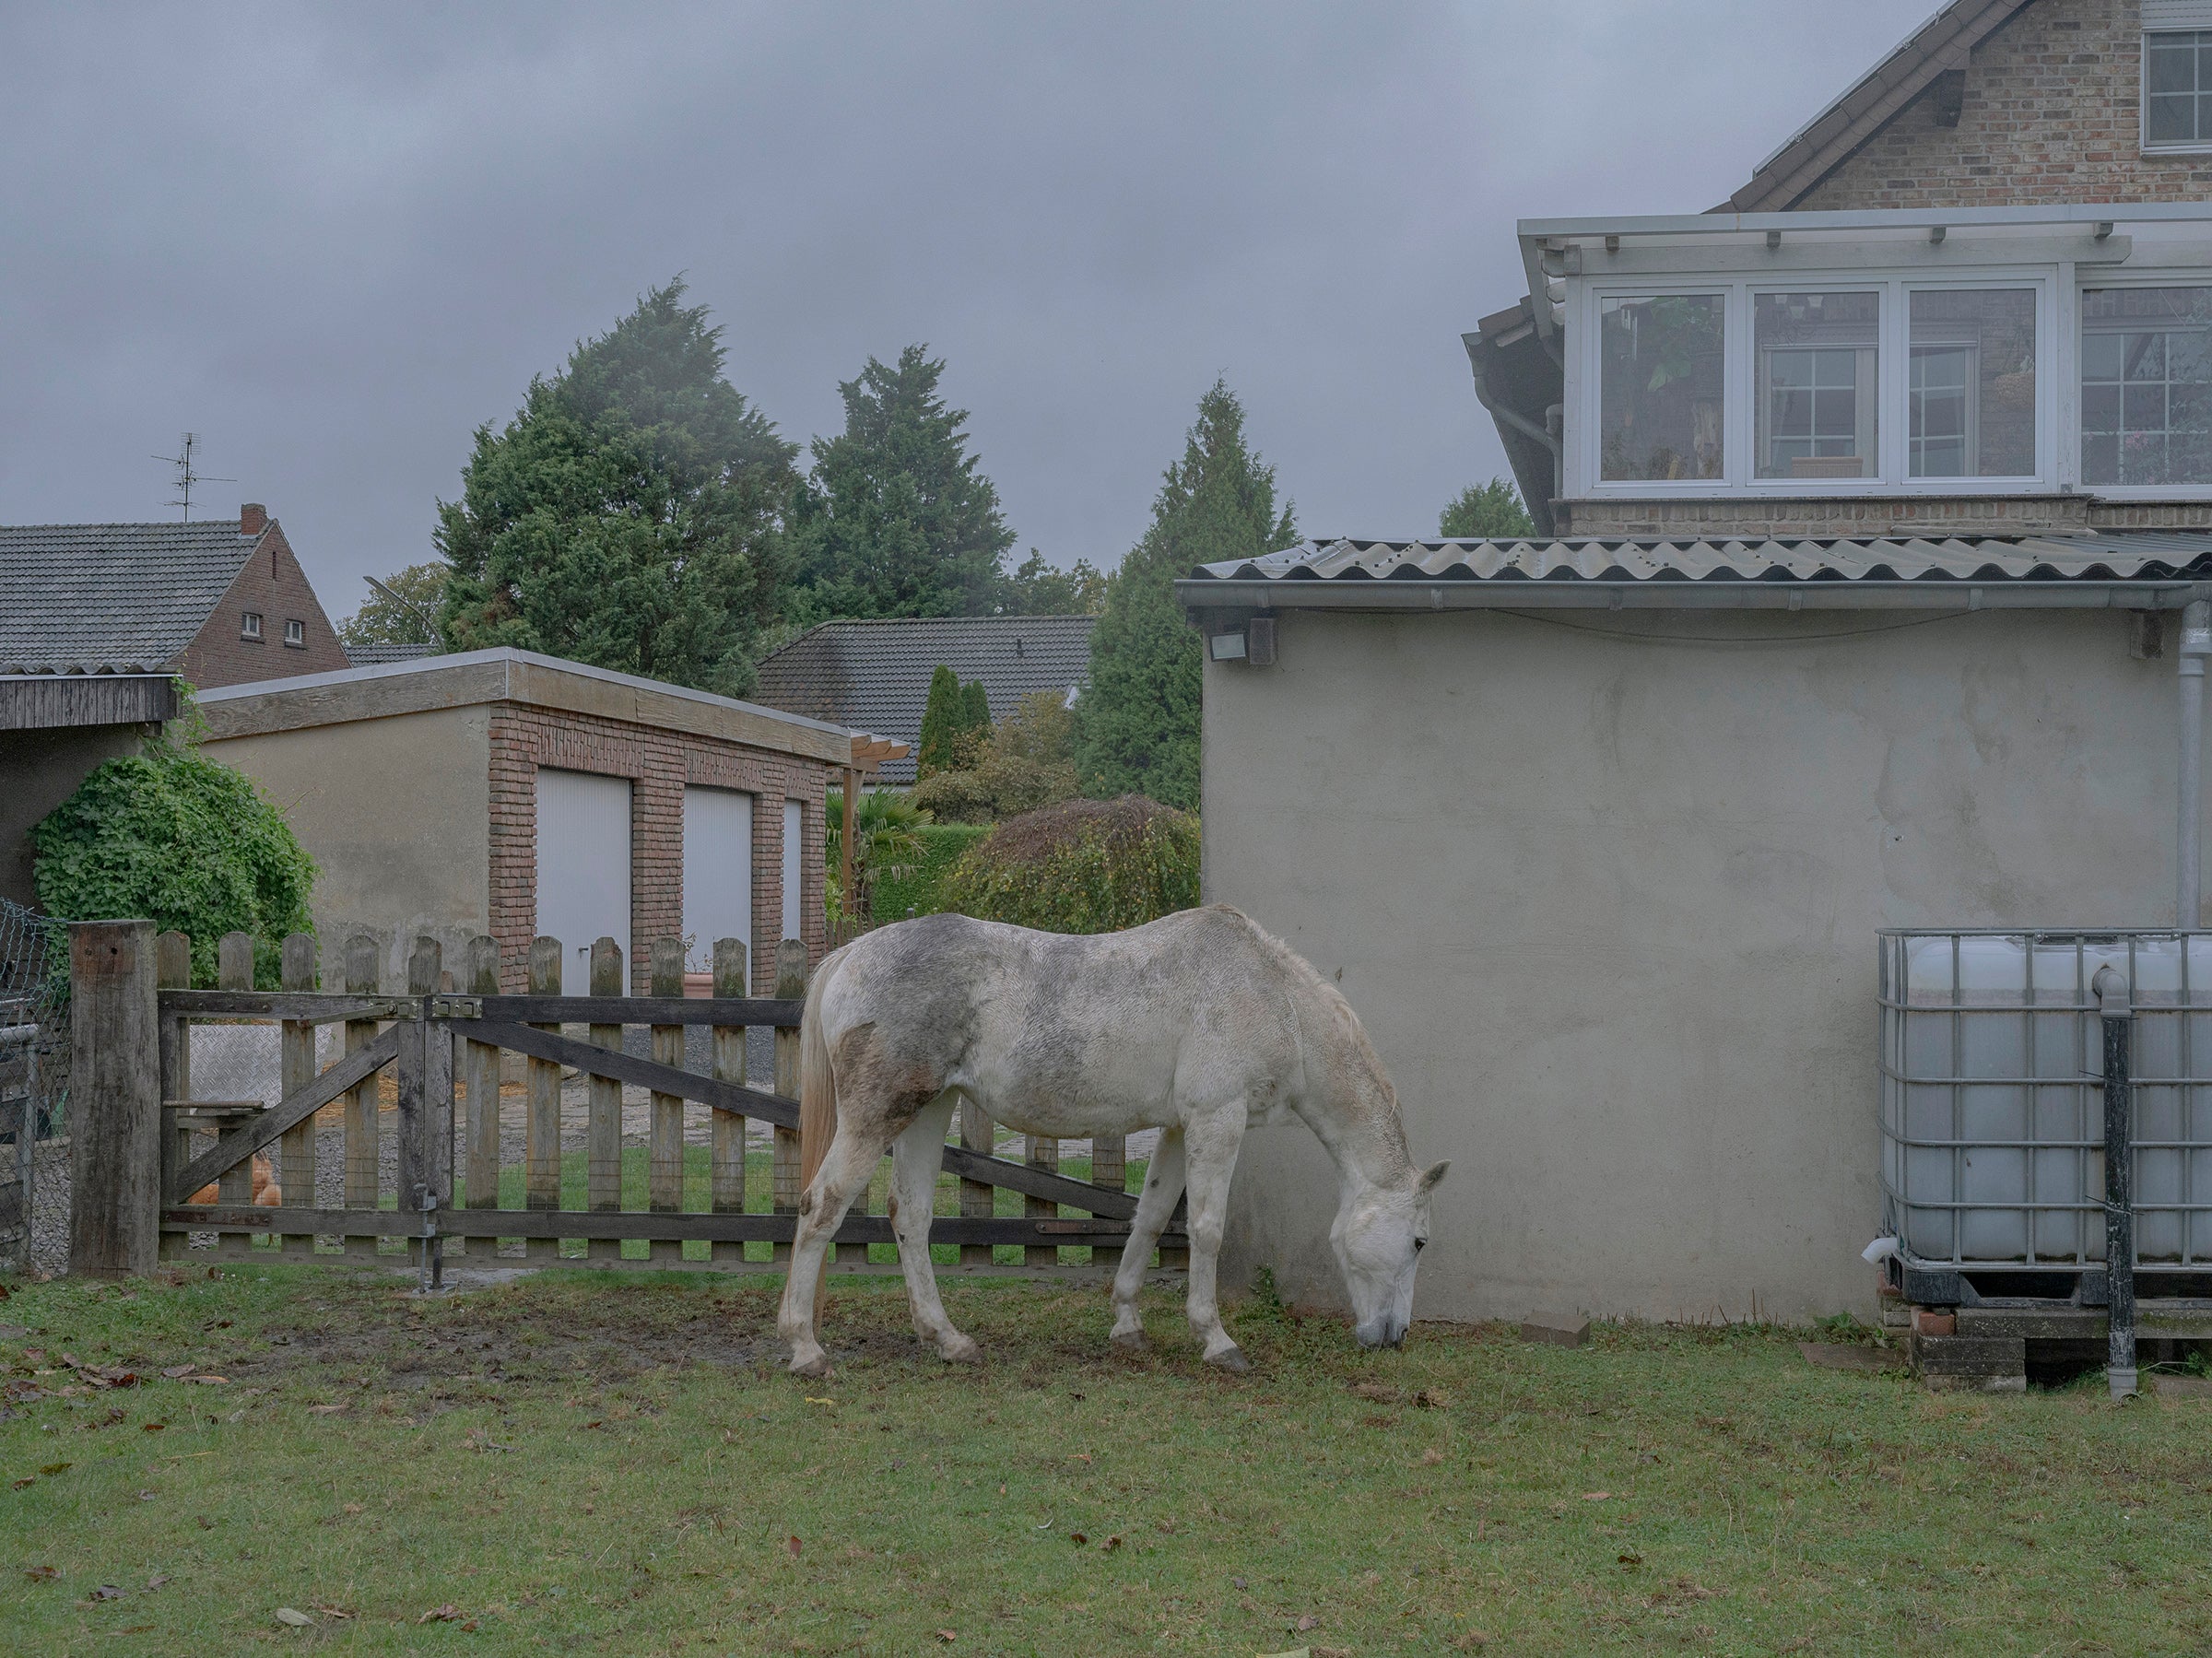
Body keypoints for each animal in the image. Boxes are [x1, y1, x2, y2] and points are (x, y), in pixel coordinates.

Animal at [778, 901, 1451, 1379]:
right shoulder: (1217, 1119)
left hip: (928, 1109)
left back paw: (948, 1340)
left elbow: (1151, 1218)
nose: (1394, 1338)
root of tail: (852, 955)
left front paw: (1128, 1325)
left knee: (911, 1217)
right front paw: (1217, 1340)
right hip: (876, 1114)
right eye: (1418, 1240)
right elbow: (1207, 1227)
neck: (1271, 997)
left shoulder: (1179, 1126)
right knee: (821, 1206)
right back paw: (805, 1348)